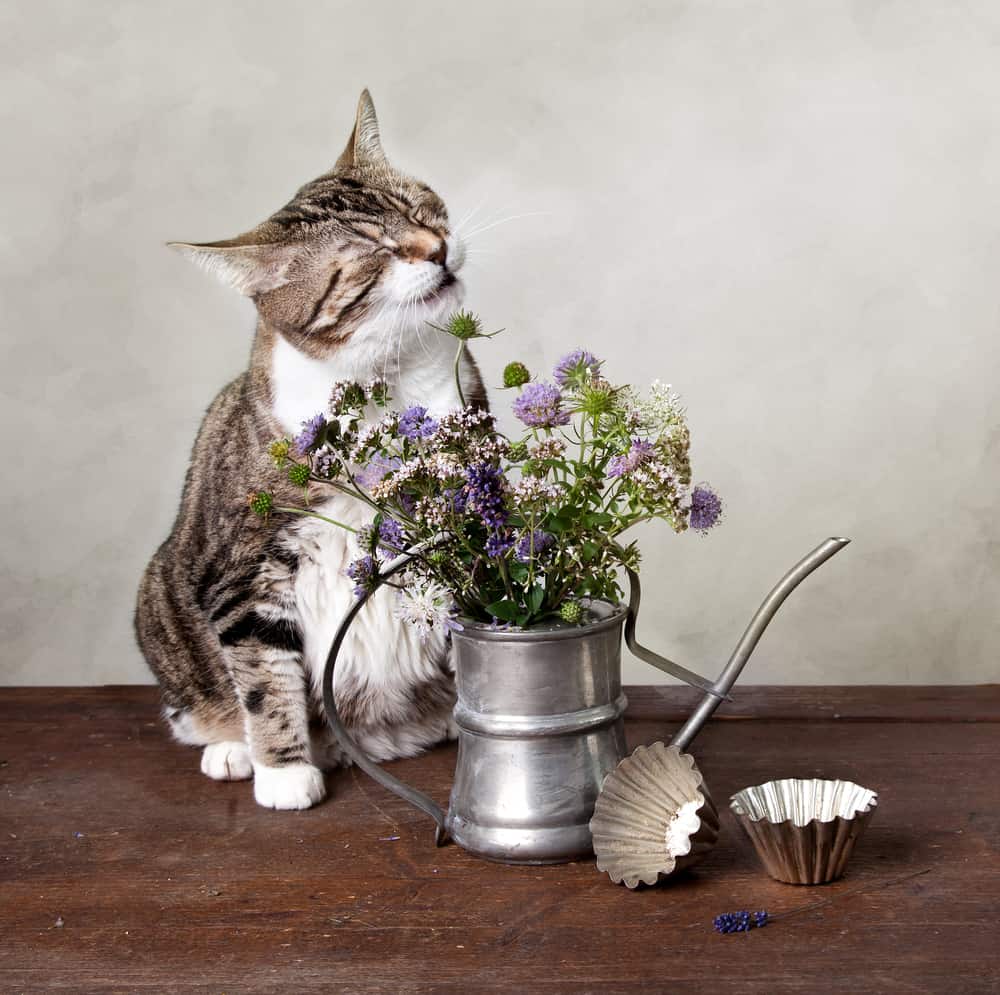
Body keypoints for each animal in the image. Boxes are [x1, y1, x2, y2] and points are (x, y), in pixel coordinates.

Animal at [136, 91, 488, 808]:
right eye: (371, 251)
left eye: (420, 208)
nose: (438, 247)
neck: (386, 380)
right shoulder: (244, 571)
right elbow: (265, 678)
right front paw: (284, 774)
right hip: (158, 593)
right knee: (205, 705)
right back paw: (232, 750)